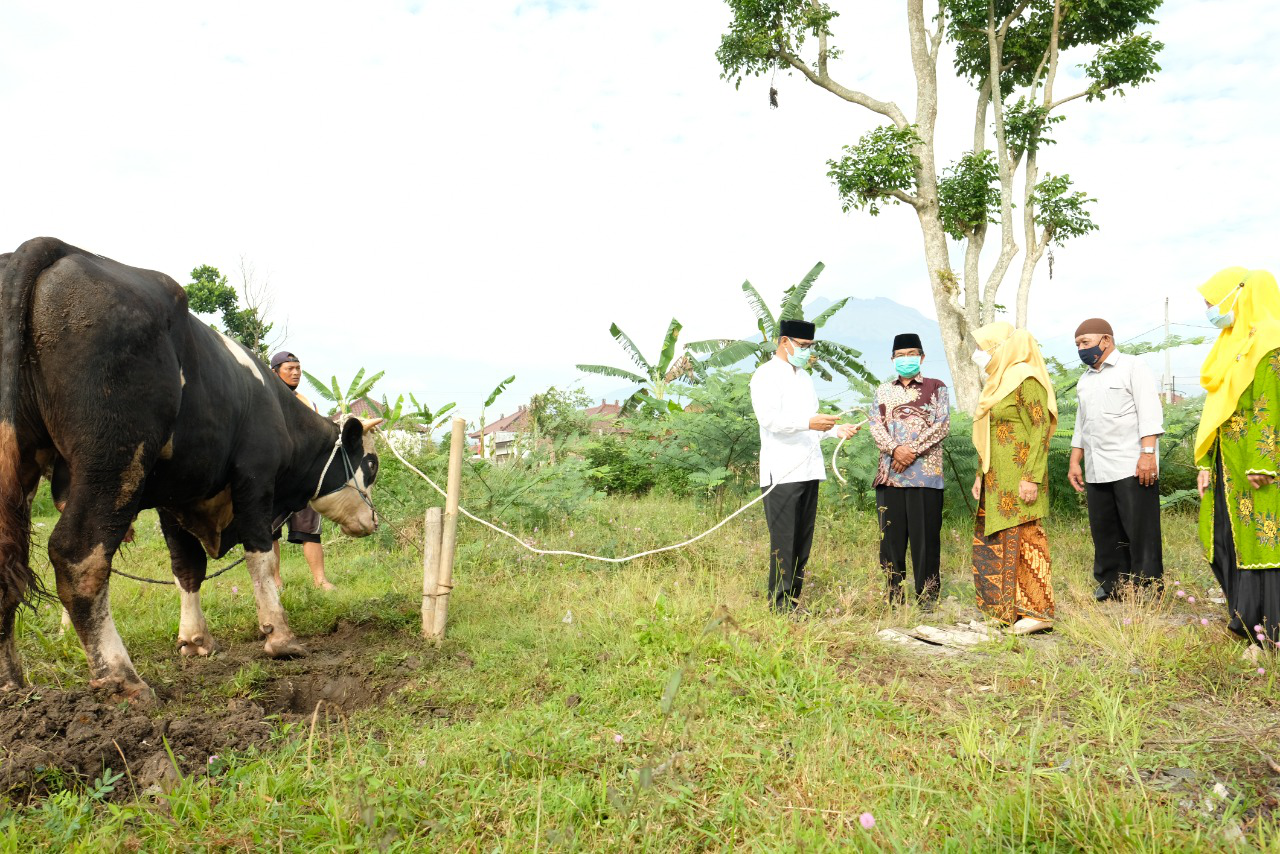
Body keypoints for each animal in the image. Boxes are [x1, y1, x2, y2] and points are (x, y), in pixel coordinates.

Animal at [0, 239, 381, 701]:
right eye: (371, 464)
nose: (373, 519)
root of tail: (52, 249)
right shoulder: (255, 479)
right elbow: (259, 556)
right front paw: (281, 637)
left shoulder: (175, 496)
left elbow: (187, 567)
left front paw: (195, 639)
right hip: (113, 461)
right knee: (78, 556)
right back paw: (123, 677)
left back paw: (12, 682)